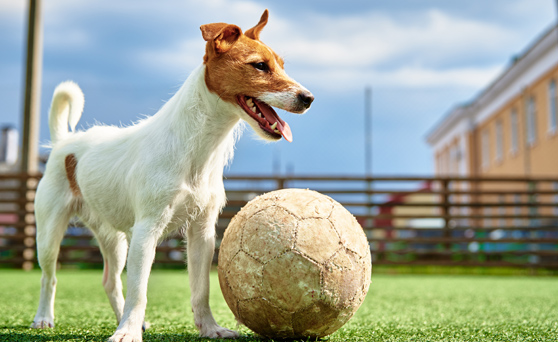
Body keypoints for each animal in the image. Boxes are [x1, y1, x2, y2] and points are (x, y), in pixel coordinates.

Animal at [31, 9, 316, 340]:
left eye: (281, 65)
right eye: (259, 65)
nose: (309, 98)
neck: (197, 148)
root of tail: (64, 142)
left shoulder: (203, 232)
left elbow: (201, 289)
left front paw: (209, 328)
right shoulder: (146, 231)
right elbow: (139, 290)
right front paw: (128, 332)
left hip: (114, 238)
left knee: (110, 281)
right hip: (49, 232)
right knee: (49, 277)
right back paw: (44, 318)